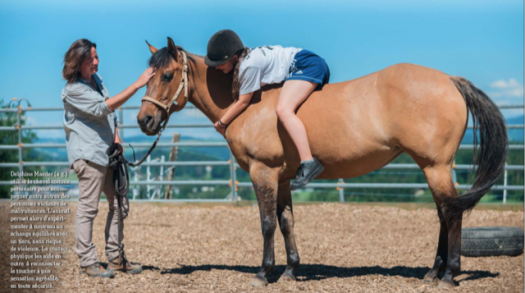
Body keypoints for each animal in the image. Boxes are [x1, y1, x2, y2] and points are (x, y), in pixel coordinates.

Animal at [136, 37, 508, 288]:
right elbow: (286, 222)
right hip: (432, 168)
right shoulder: (283, 178)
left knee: (452, 213)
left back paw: (448, 274)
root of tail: (450, 81)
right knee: (445, 213)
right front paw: (290, 270)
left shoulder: (263, 173)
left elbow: (267, 224)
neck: (248, 102)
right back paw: (433, 271)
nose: (144, 121)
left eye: (167, 75)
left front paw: (263, 272)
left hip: (435, 167)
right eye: (148, 75)